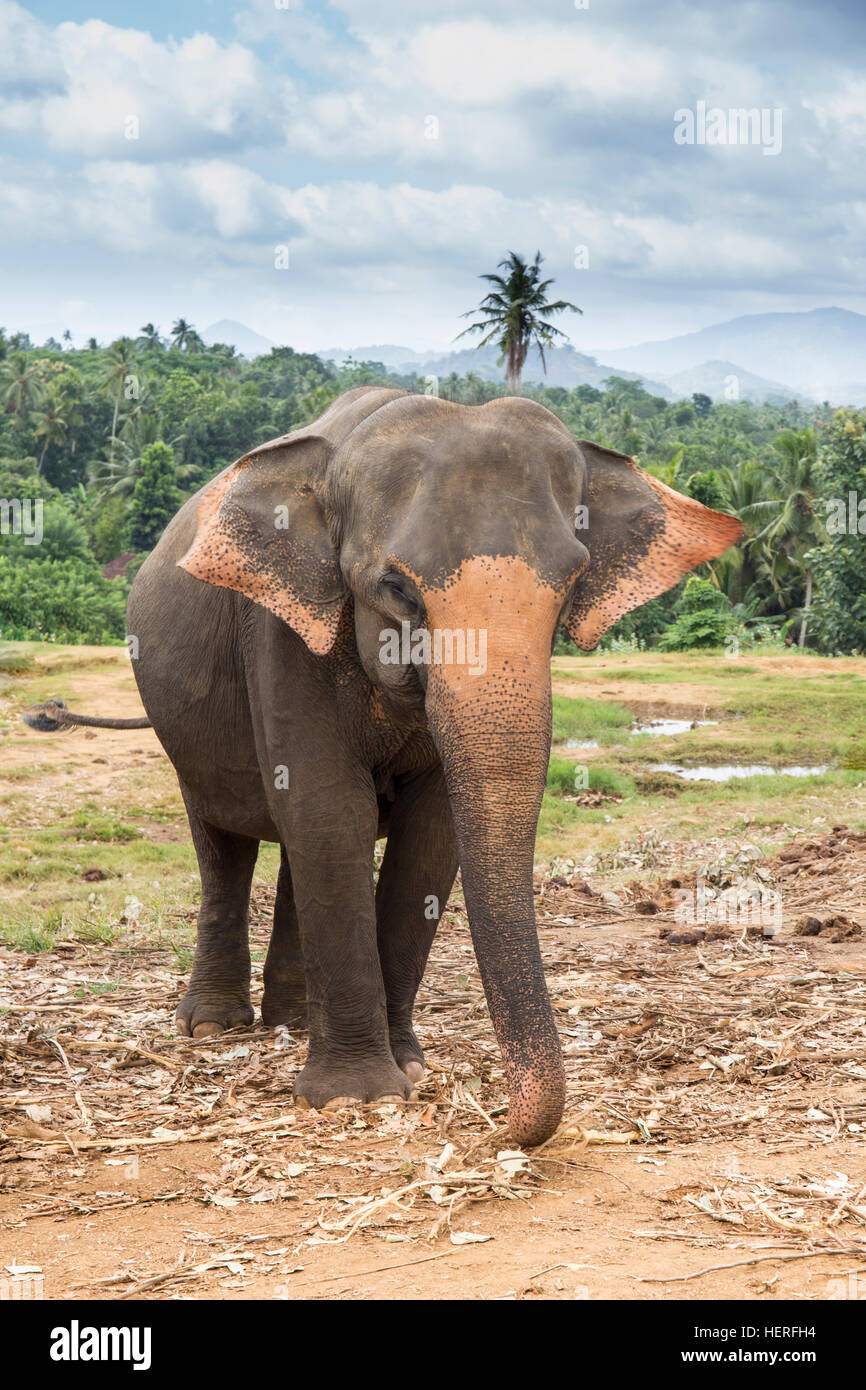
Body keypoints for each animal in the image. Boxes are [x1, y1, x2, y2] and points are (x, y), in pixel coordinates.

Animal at [28, 386, 745, 1145]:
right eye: (398, 588)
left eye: (572, 583)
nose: (500, 1123)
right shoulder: (280, 633)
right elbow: (329, 806)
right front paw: (358, 1097)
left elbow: (424, 836)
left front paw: (412, 1067)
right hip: (183, 730)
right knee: (224, 843)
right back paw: (214, 1027)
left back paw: (293, 1020)